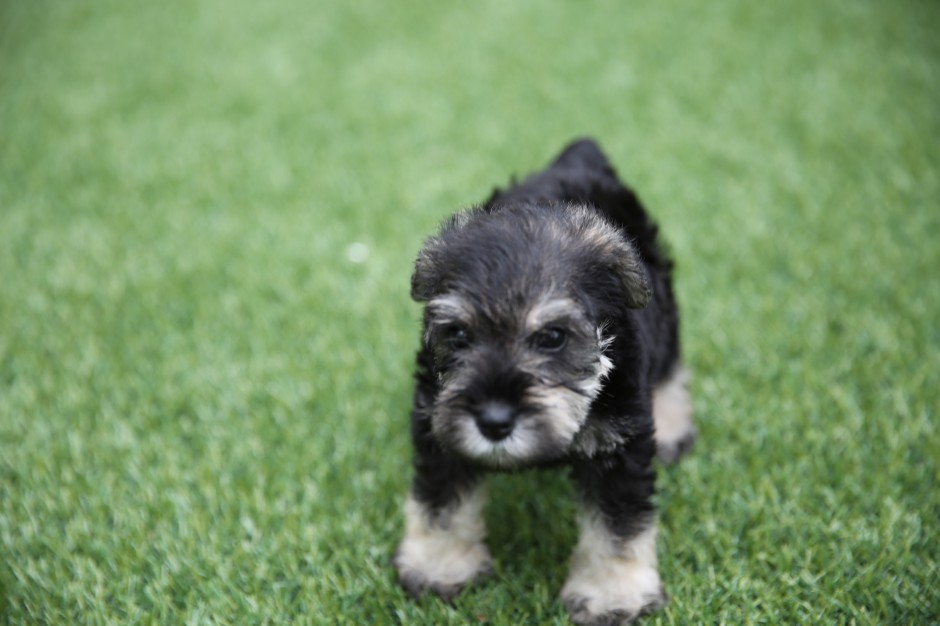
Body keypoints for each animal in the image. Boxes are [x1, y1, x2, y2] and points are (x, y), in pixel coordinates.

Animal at [392, 139, 692, 620]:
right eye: (458, 334)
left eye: (553, 337)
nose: (494, 422)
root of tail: (580, 153)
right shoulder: (437, 424)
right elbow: (441, 500)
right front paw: (437, 566)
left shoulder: (620, 445)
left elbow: (618, 525)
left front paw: (614, 595)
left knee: (670, 366)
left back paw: (673, 426)